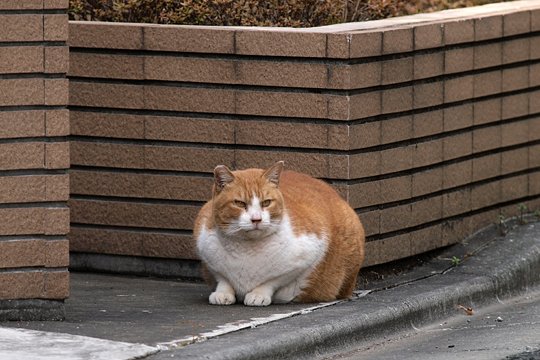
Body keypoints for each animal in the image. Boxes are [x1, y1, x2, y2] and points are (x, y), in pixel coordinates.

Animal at [192, 162, 364, 306]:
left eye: (266, 202)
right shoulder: (206, 251)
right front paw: (222, 292)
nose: (256, 219)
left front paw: (259, 294)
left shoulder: (309, 253)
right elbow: (222, 278)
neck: (247, 250)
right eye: (239, 203)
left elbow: (274, 280)